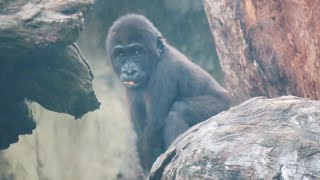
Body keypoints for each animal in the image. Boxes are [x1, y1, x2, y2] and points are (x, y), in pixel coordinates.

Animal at [106, 14, 231, 173]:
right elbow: (140, 131)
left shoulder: (164, 71)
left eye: (137, 52)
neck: (157, 57)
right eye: (121, 54)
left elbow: (155, 126)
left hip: (225, 107)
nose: (129, 71)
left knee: (178, 109)